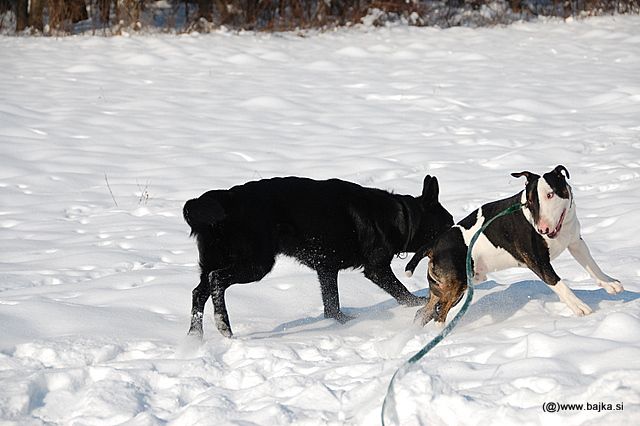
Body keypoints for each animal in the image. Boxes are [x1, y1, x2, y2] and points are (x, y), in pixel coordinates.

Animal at [182, 175, 452, 338]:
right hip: (256, 262)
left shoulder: (326, 268)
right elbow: (402, 294)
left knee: (199, 292)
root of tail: (224, 199)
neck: (403, 217)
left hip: (215, 261)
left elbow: (331, 306)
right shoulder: (376, 268)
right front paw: (418, 304)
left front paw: (343, 322)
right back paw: (223, 325)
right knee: (217, 281)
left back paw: (195, 337)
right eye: (448, 224)